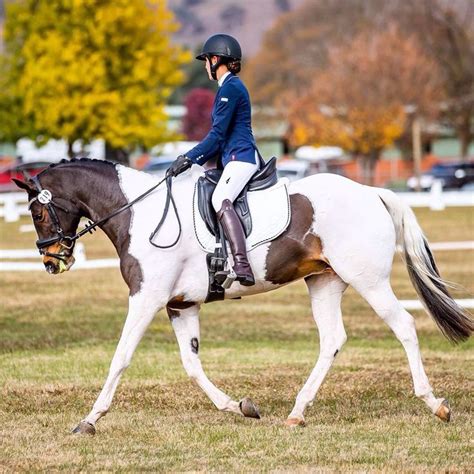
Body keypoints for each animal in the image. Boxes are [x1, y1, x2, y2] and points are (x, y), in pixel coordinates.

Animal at [12, 158, 472, 434]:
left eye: (36, 211)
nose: (52, 261)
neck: (138, 213)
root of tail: (371, 191)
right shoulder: (180, 305)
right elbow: (192, 366)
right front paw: (239, 406)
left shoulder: (146, 298)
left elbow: (120, 357)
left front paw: (89, 420)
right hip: (324, 281)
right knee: (332, 340)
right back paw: (297, 413)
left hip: (368, 279)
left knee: (405, 326)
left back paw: (435, 405)